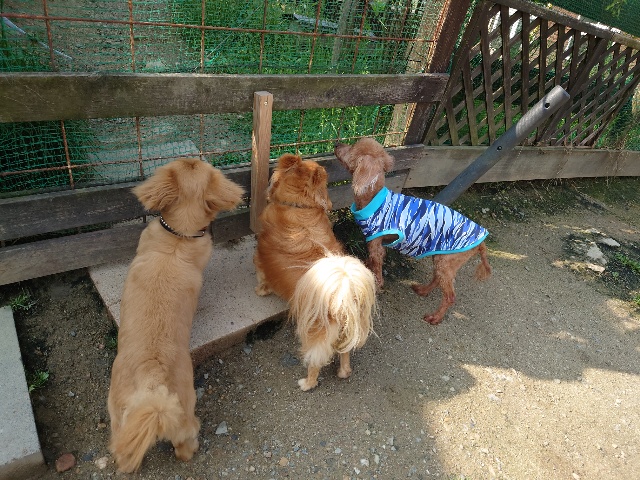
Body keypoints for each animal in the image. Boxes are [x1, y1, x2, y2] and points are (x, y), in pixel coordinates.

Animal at [253, 153, 377, 391]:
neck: (299, 208)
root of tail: (341, 298)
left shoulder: (260, 262)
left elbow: (262, 278)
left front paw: (260, 291)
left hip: (314, 335)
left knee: (316, 361)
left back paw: (307, 383)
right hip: (345, 333)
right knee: (345, 355)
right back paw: (343, 372)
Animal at [334, 138, 491, 325]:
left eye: (352, 148)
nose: (336, 144)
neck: (373, 199)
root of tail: (481, 242)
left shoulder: (375, 244)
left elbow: (376, 266)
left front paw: (376, 283)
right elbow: (370, 261)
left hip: (447, 261)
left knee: (450, 296)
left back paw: (435, 317)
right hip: (441, 258)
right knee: (437, 278)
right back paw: (423, 290)